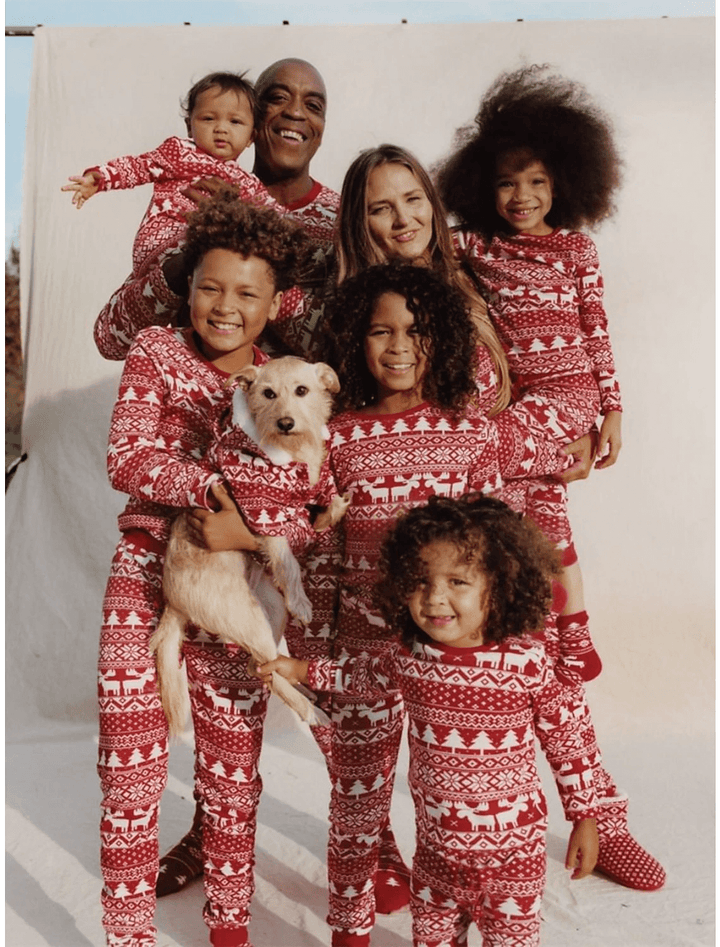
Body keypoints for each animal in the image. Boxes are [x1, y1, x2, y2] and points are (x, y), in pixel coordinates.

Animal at [150, 360, 348, 736]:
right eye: (268, 393)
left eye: (302, 390)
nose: (285, 422)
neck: (291, 450)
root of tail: (173, 602)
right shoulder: (262, 510)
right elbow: (286, 558)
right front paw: (301, 599)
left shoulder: (314, 488)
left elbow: (326, 501)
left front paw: (332, 511)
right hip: (248, 619)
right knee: (265, 669)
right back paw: (310, 710)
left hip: (272, 610)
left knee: (264, 668)